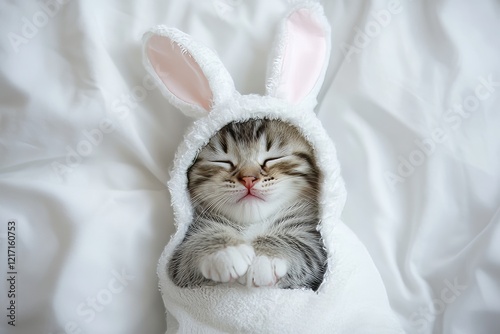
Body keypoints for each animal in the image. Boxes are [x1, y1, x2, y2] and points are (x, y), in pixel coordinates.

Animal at [170, 118, 326, 290]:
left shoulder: (314, 242)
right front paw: (225, 251)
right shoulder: (179, 260)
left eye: (273, 158)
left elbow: (302, 245)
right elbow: (187, 251)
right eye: (222, 161)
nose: (249, 179)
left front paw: (263, 256)